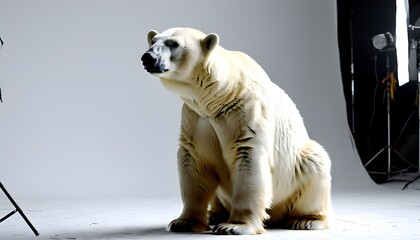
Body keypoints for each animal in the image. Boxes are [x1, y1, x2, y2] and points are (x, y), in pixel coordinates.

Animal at [141, 27, 332, 234]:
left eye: (174, 44)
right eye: (153, 41)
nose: (148, 57)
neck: (221, 94)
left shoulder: (248, 111)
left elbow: (248, 158)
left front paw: (235, 226)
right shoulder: (196, 117)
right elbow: (194, 160)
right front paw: (183, 222)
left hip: (298, 167)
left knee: (314, 163)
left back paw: (306, 220)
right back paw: (215, 214)